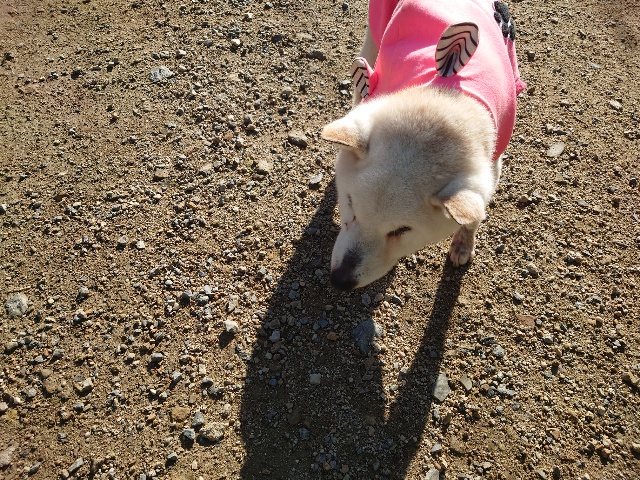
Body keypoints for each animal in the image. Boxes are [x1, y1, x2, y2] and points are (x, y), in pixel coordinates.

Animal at [322, 0, 525, 290]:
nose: (340, 281)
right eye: (350, 203)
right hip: (374, 37)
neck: (443, 103)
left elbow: (476, 212)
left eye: (401, 230)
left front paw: (463, 244)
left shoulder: (492, 164)